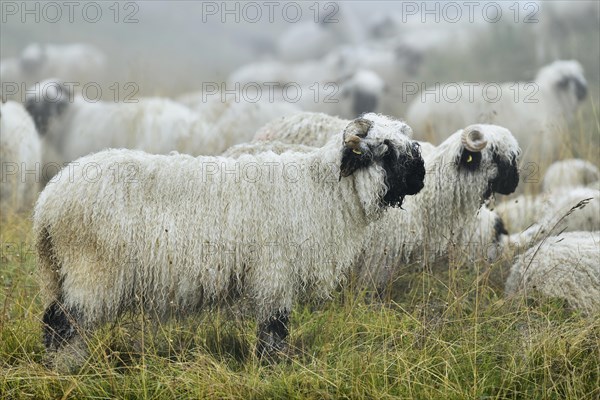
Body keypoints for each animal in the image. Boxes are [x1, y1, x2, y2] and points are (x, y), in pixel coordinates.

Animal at [32, 111, 426, 366]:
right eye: (385, 149)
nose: (420, 178)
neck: (321, 190)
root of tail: (48, 204)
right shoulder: (274, 273)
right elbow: (274, 328)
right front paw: (273, 369)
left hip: (65, 271)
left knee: (54, 320)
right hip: (91, 269)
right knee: (62, 324)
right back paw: (67, 370)